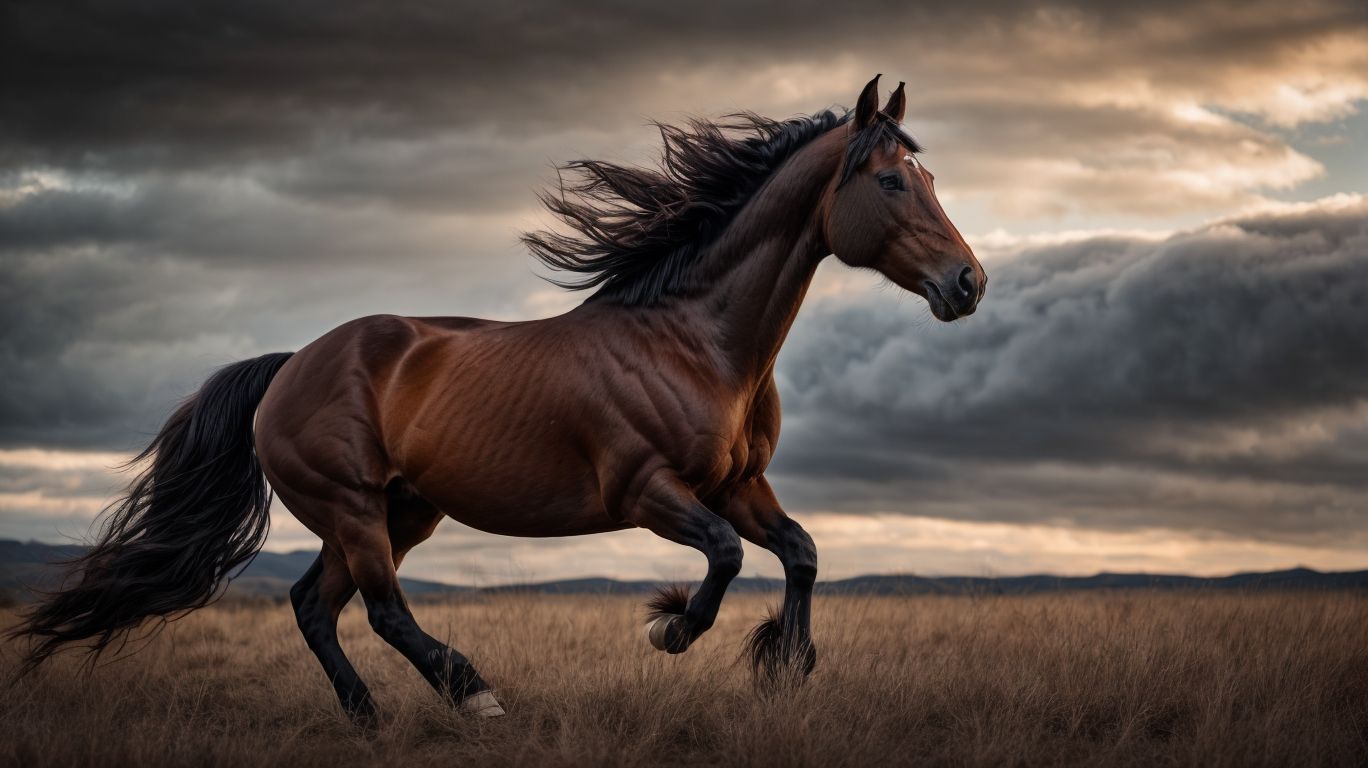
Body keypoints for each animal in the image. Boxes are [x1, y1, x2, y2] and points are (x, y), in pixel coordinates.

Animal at [12, 75, 985, 722]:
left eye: (934, 180)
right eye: (891, 181)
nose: (968, 284)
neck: (696, 343)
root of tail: (288, 365)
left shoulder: (739, 485)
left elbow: (802, 553)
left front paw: (787, 663)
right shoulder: (648, 492)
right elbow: (724, 558)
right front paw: (670, 630)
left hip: (400, 512)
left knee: (315, 607)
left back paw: (368, 717)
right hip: (353, 507)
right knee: (380, 609)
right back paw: (473, 693)